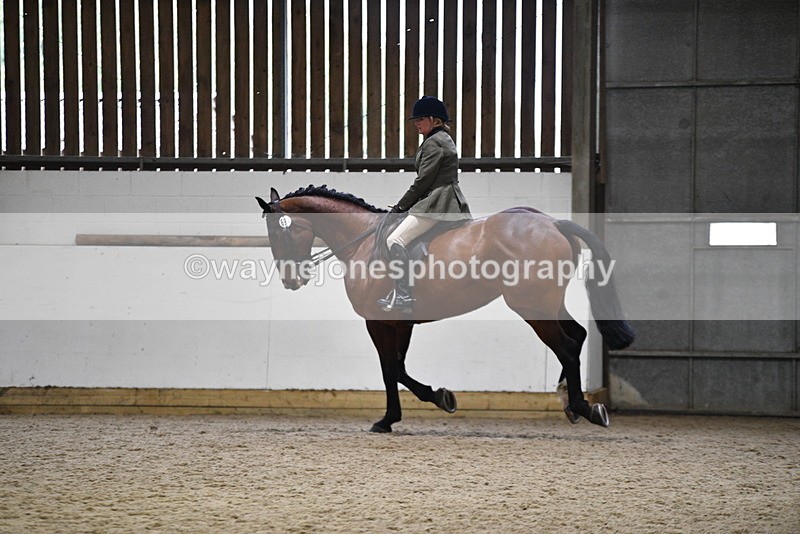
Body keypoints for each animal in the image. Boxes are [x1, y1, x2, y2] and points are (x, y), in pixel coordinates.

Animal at [256, 185, 634, 432]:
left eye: (277, 232)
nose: (291, 279)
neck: (361, 241)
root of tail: (552, 223)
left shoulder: (378, 322)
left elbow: (390, 369)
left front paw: (391, 418)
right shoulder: (401, 321)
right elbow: (399, 367)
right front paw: (438, 398)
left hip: (531, 307)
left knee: (567, 347)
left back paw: (585, 408)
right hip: (546, 302)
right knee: (578, 335)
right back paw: (569, 403)